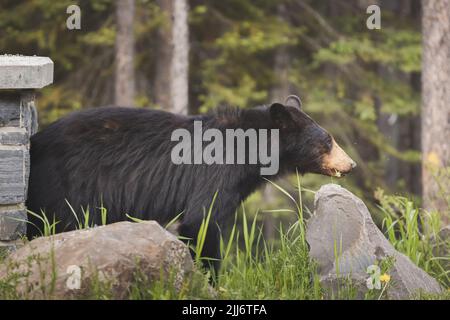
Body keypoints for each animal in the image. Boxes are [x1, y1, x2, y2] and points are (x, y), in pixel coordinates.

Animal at [25, 95, 356, 276]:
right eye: (328, 141)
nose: (350, 164)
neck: (250, 148)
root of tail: (36, 142)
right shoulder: (217, 173)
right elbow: (202, 221)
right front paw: (209, 277)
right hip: (63, 184)